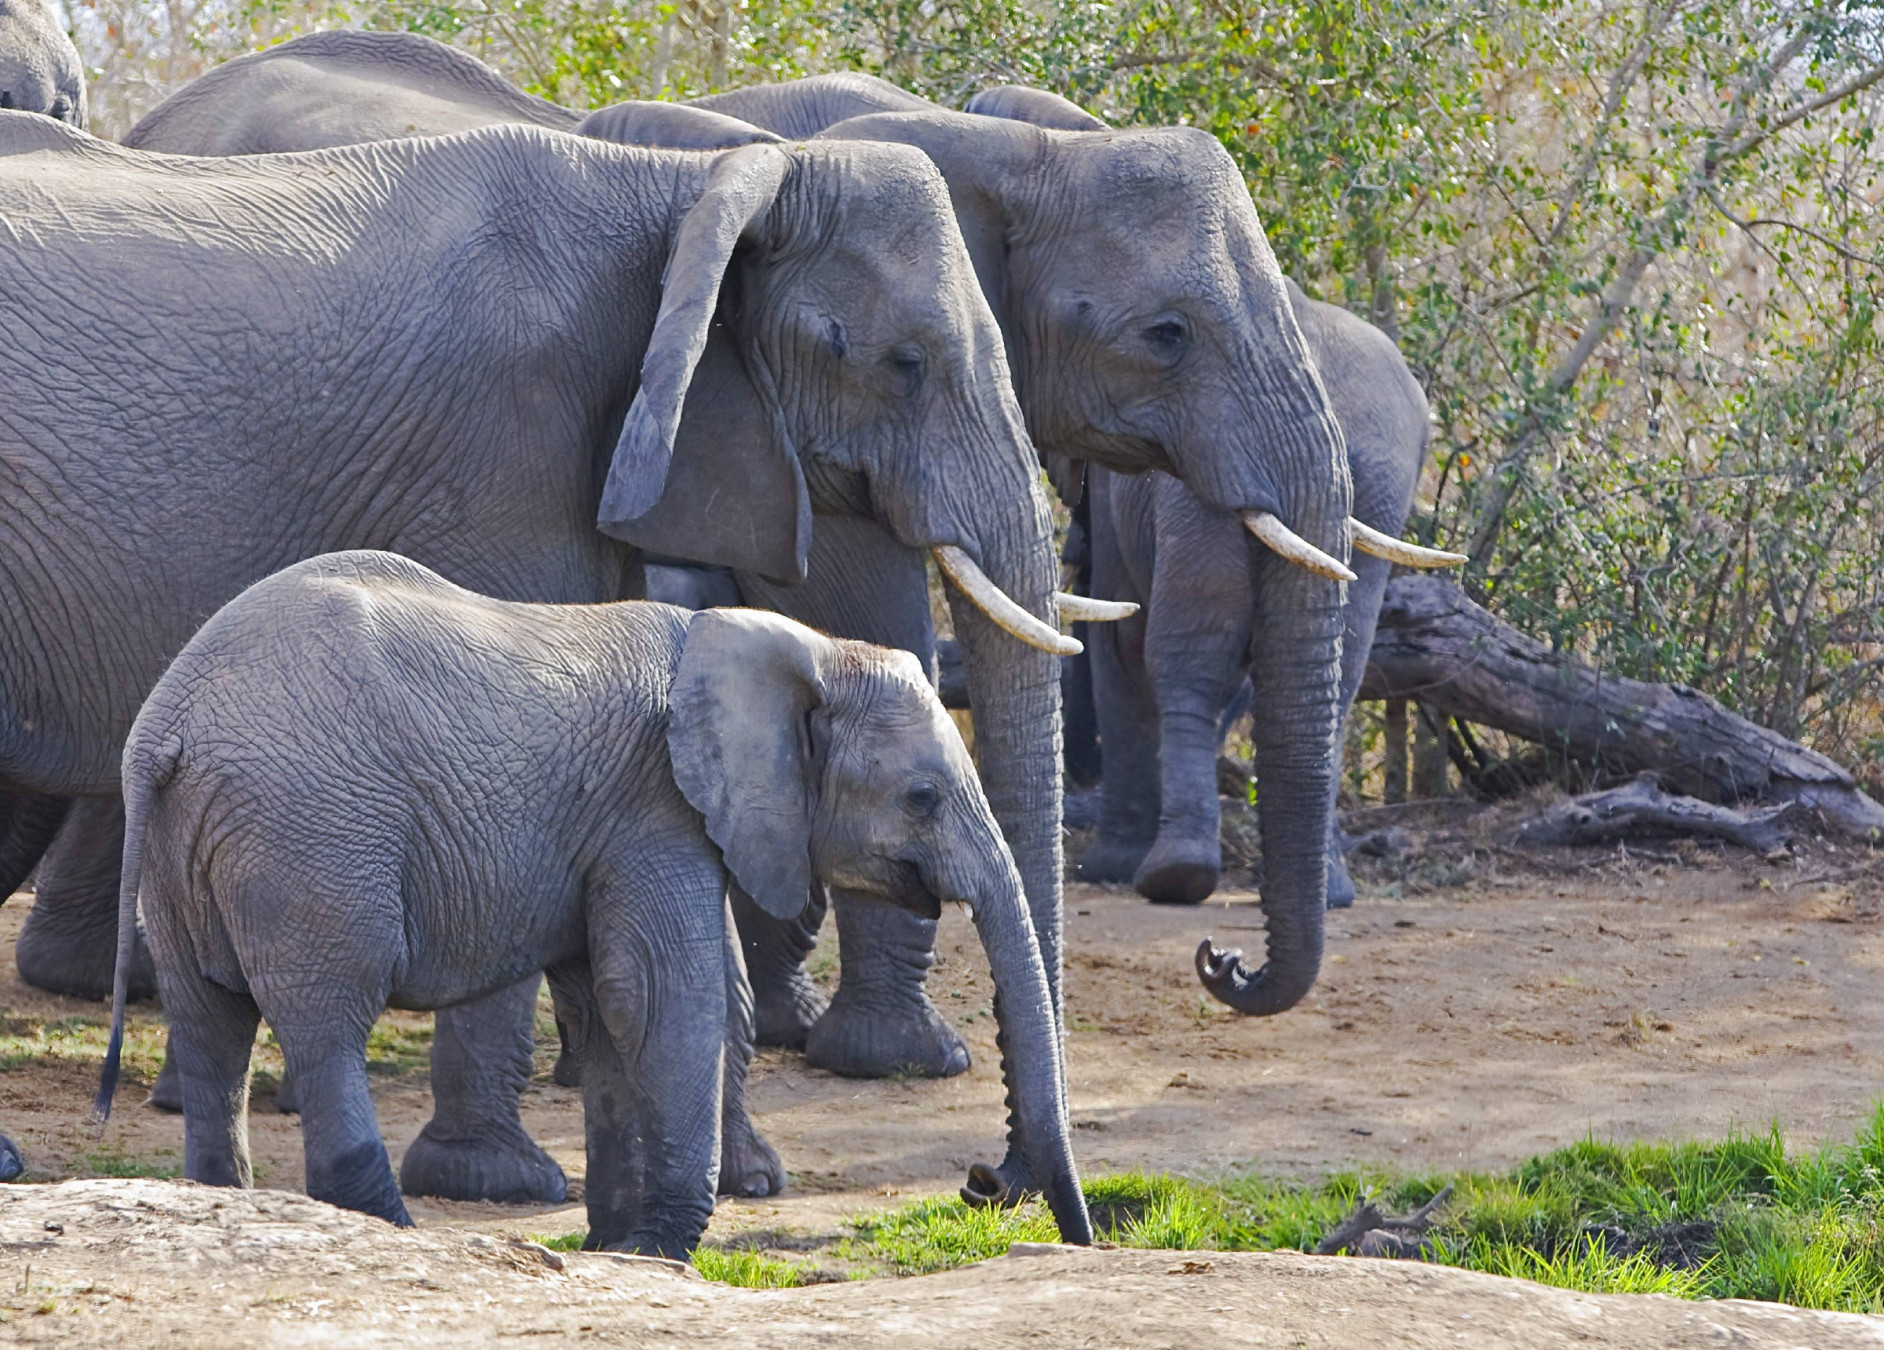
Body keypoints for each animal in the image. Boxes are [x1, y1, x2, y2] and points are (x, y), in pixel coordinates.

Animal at [0, 115, 1069, 1200]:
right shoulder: (502, 458)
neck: (694, 188)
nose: (989, 1179)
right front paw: (499, 1182)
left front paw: (743, 1179)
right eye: (902, 362)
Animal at [95, 551, 1091, 1257]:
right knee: (328, 1021)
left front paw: (616, 1246)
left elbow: (605, 1008)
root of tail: (169, 726)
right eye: (922, 798)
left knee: (212, 1021)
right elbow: (658, 997)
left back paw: (223, 1204)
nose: (984, 1183)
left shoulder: (607, 830)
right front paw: (663, 1253)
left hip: (195, 852)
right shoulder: (656, 808)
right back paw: (393, 1234)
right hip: (315, 841)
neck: (793, 646)